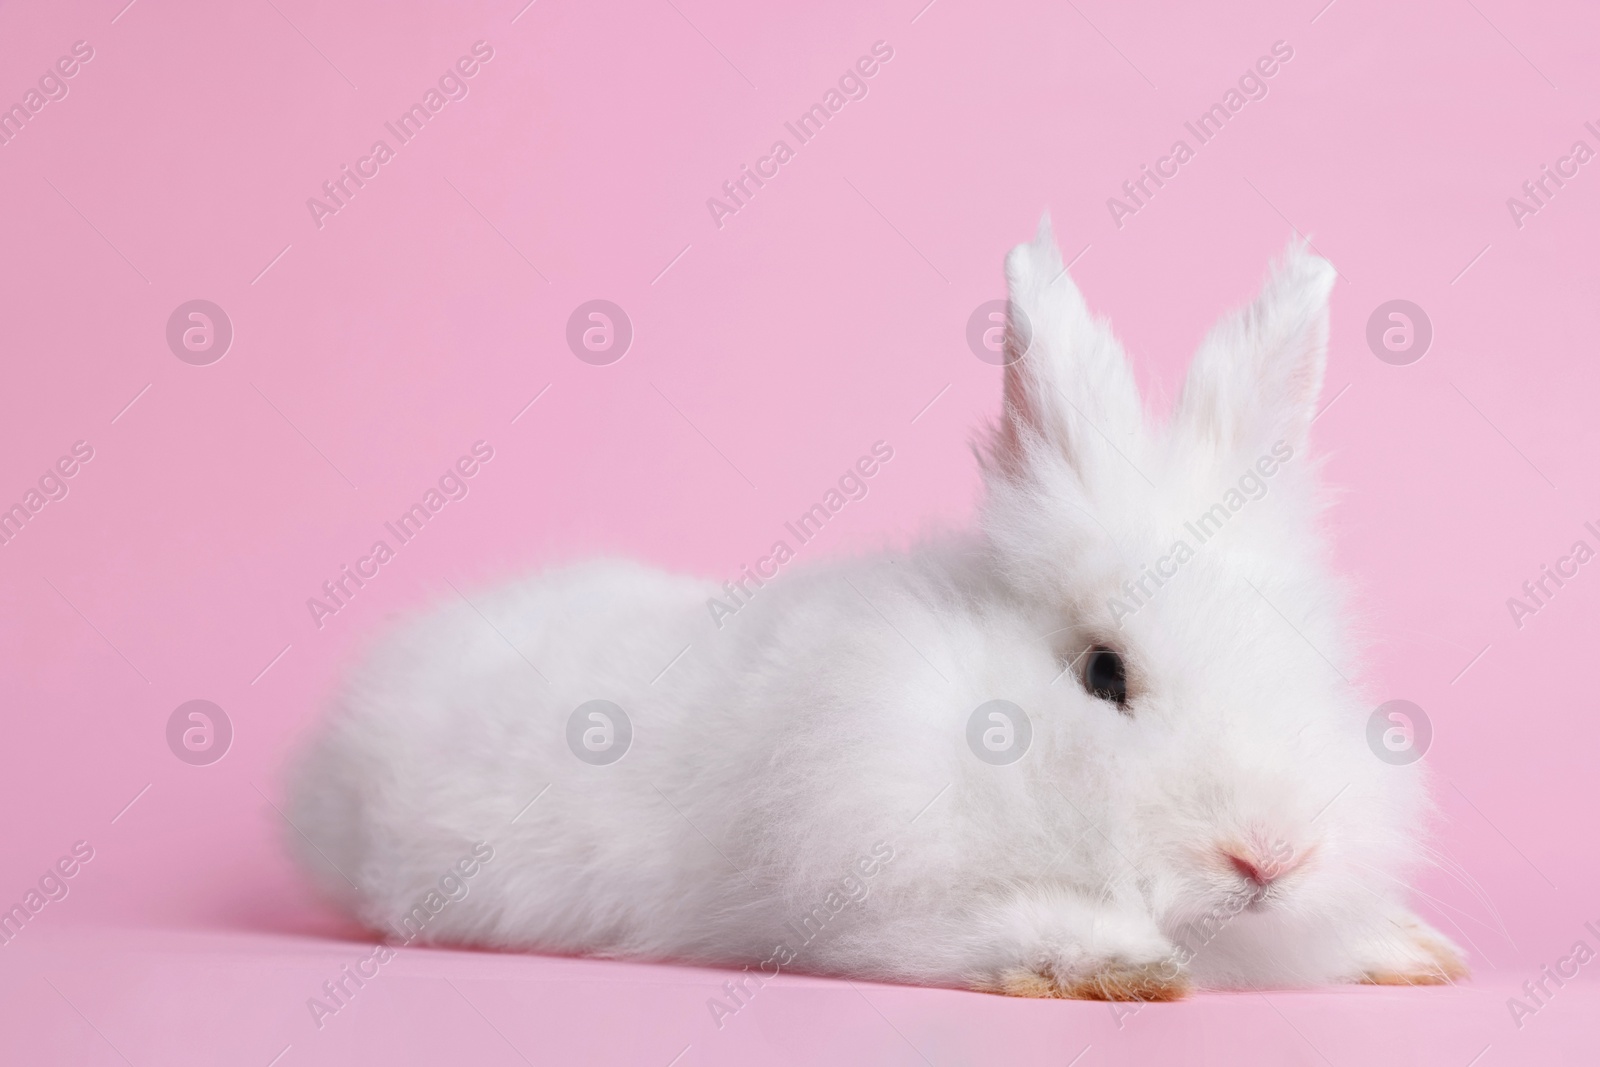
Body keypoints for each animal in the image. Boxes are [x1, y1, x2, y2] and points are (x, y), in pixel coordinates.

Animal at [284, 217, 1465, 1004]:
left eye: (1311, 664)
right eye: (1102, 672)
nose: (1268, 856)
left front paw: (1411, 950)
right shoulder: (875, 910)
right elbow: (1006, 932)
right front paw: (1123, 963)